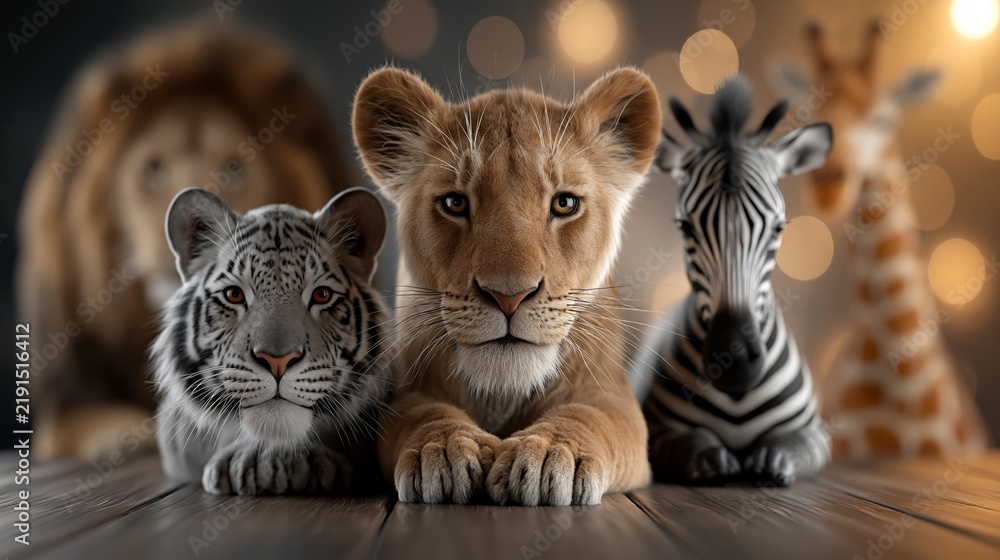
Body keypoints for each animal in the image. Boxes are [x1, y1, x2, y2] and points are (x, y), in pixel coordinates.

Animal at [352, 66, 662, 505]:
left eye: (564, 203)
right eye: (455, 203)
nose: (508, 296)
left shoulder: (611, 396)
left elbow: (592, 416)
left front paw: (548, 454)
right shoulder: (411, 391)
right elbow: (422, 415)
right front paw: (445, 451)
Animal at [633, 77, 833, 486]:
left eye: (778, 228)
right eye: (684, 227)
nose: (734, 363)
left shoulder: (816, 435)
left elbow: (786, 448)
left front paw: (769, 463)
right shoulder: (659, 433)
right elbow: (696, 445)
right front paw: (715, 461)